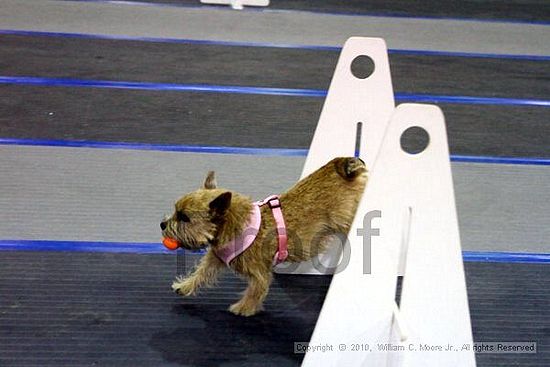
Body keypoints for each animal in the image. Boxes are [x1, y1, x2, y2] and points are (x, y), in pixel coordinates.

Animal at [164, 157, 370, 316]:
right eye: (176, 211)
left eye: (184, 217)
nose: (162, 224)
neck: (232, 225)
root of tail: (341, 163)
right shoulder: (216, 258)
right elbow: (202, 273)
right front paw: (185, 286)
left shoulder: (259, 274)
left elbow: (255, 291)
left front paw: (244, 308)